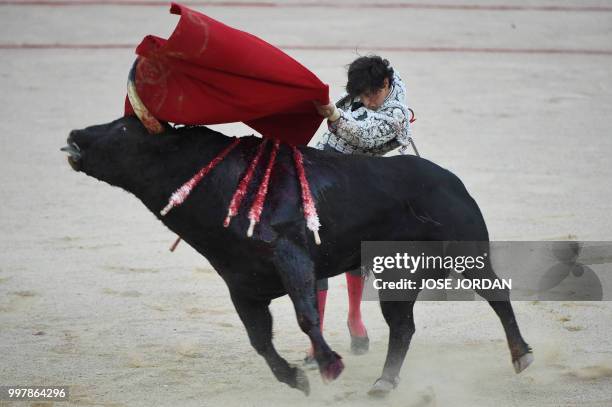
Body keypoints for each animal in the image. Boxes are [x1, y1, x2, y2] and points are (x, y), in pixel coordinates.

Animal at [61, 117, 532, 398]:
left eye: (125, 129)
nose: (74, 136)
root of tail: (452, 179)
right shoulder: (241, 285)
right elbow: (259, 339)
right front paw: (296, 378)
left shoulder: (292, 258)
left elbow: (305, 315)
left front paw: (328, 363)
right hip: (395, 274)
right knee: (402, 326)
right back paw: (383, 382)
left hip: (470, 251)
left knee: (497, 295)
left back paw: (521, 355)